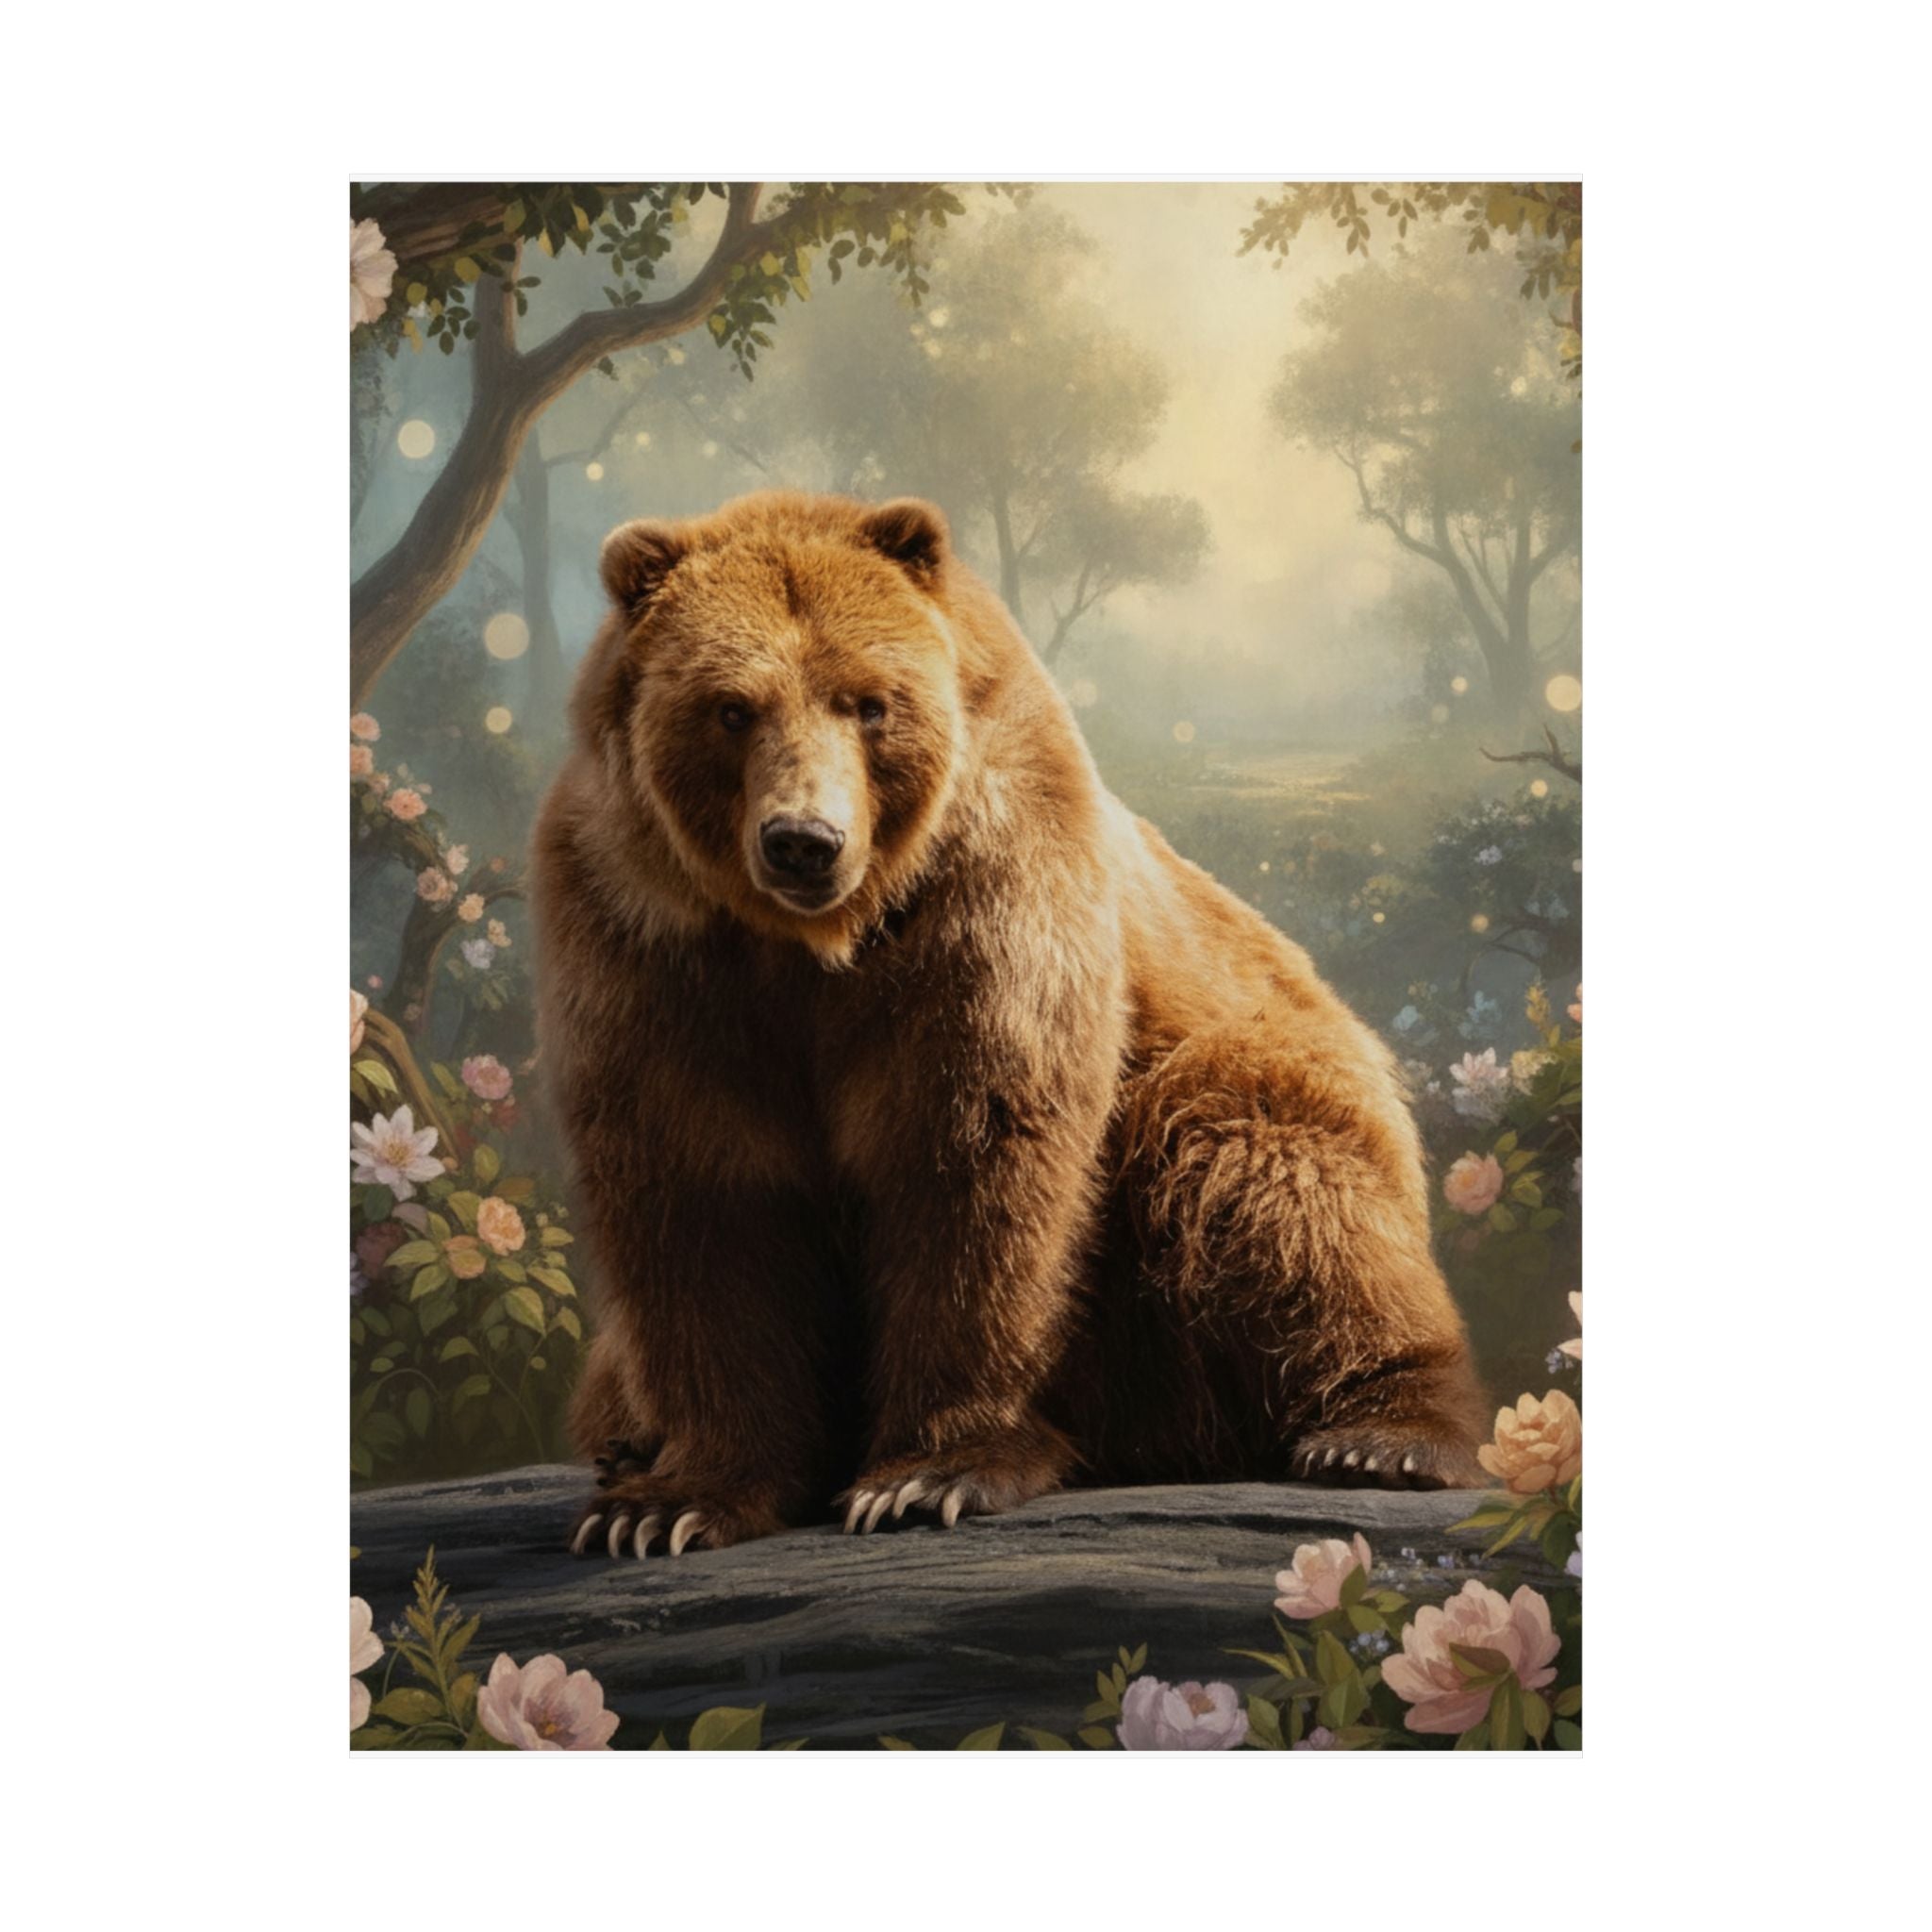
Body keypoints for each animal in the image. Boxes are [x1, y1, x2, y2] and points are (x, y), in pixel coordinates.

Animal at [532, 490, 1485, 1559]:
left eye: (868, 701)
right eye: (731, 707)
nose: (804, 841)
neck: (815, 945)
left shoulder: (987, 901)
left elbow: (973, 1160)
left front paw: (926, 1473)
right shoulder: (649, 948)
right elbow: (702, 1197)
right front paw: (669, 1500)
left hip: (1239, 1103)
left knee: (1268, 1165)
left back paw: (1382, 1433)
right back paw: (623, 1442)